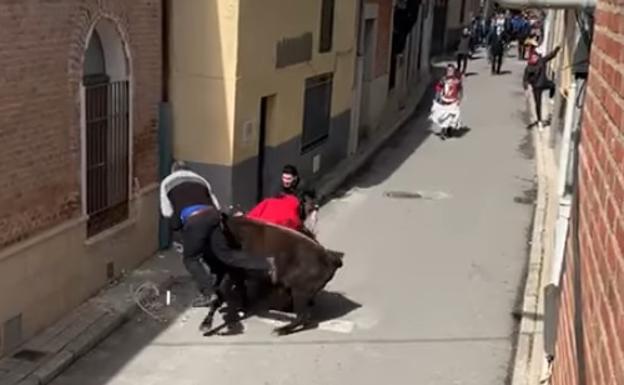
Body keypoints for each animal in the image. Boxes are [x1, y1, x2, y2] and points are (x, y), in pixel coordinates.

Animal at [204, 214, 344, 334]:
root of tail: (332, 259)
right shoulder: (235, 273)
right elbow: (236, 291)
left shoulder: (233, 272)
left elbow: (222, 293)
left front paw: (206, 325)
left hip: (299, 291)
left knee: (302, 315)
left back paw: (282, 330)